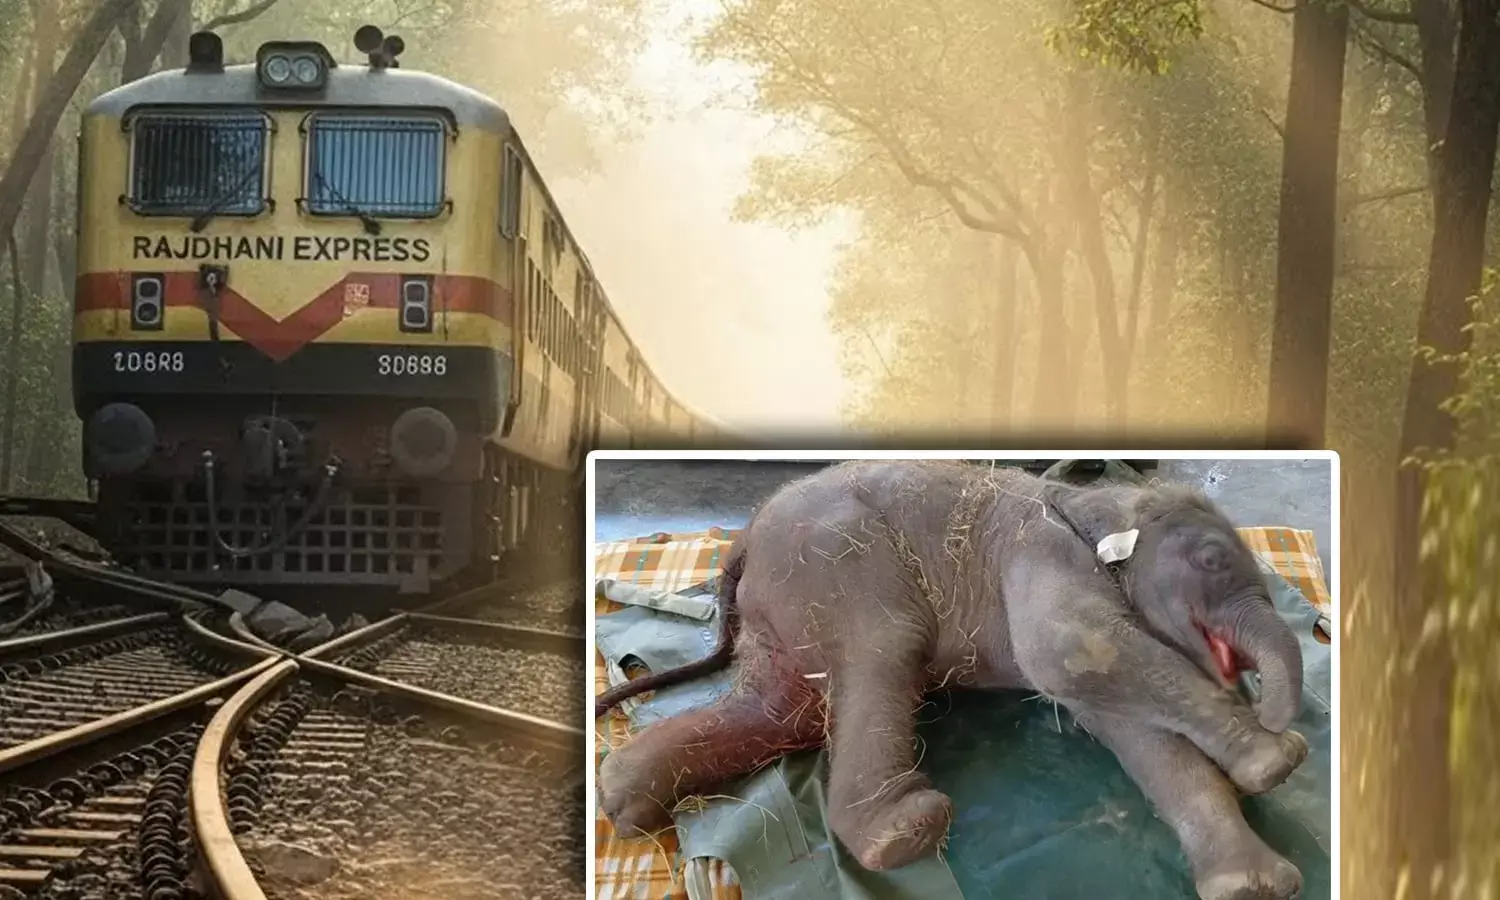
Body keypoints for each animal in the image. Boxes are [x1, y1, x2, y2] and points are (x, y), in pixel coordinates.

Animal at [595, 460, 1310, 900]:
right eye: (1212, 560)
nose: (1286, 721)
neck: (1099, 501)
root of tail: (743, 536)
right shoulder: (1041, 556)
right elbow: (1077, 648)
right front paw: (1278, 760)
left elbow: (1136, 732)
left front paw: (1256, 885)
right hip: (835, 564)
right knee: (880, 653)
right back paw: (907, 832)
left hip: (784, 609)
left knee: (782, 711)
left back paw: (623, 801)